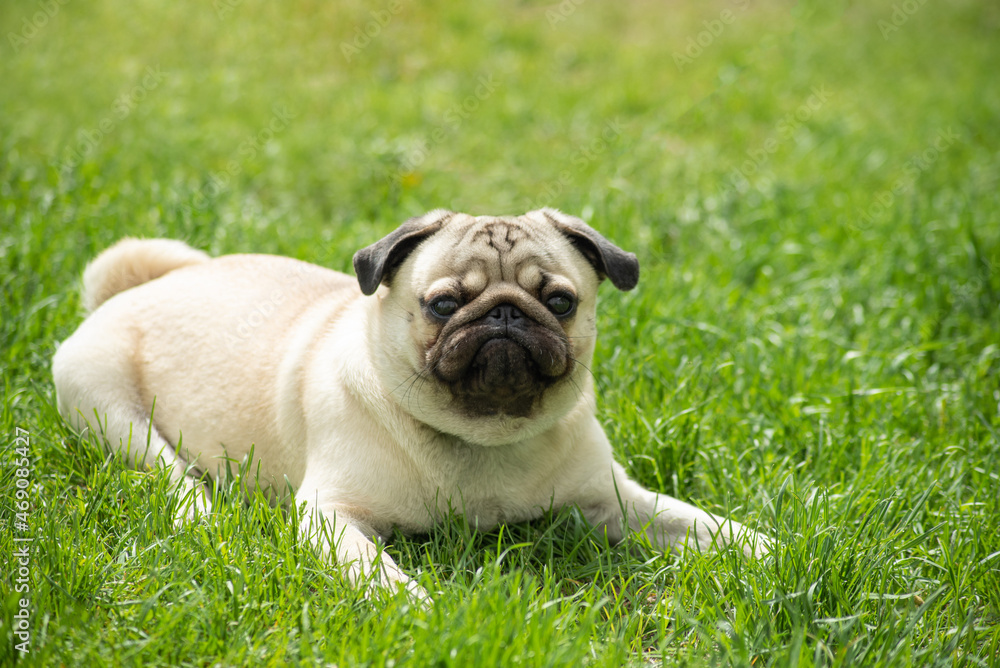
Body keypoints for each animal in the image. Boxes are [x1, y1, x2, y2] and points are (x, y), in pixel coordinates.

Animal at [52, 209, 764, 596]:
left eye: (560, 301)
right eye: (444, 304)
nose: (505, 314)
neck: (485, 437)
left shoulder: (614, 501)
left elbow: (704, 525)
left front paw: (769, 548)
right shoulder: (332, 516)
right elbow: (375, 572)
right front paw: (417, 604)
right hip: (108, 406)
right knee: (171, 477)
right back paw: (203, 511)